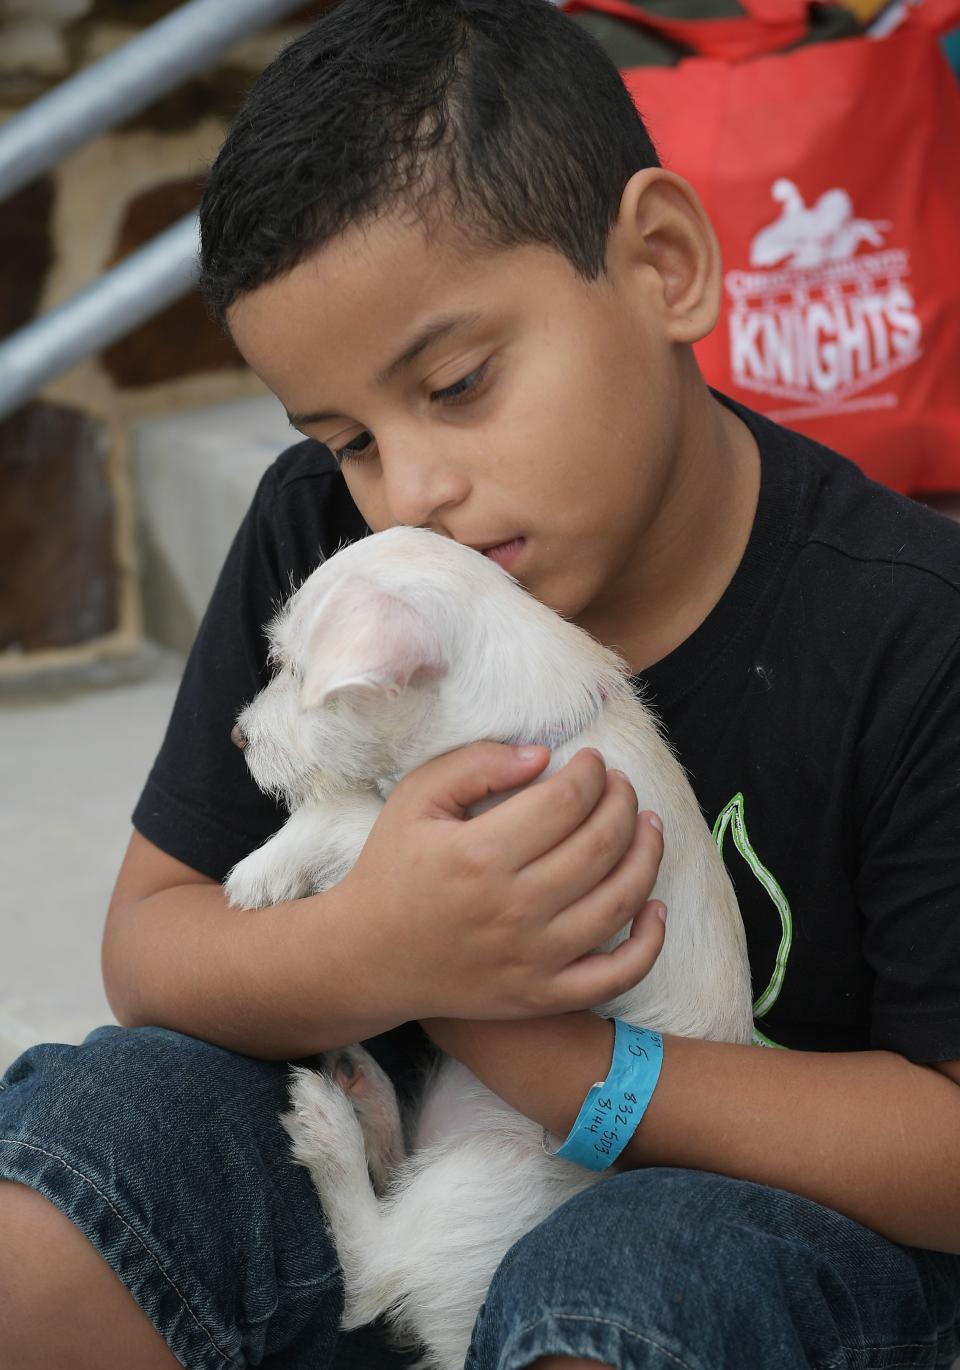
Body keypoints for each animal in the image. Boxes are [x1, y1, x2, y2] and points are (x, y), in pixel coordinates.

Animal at [225, 526, 755, 1370]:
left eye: (302, 673)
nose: (238, 735)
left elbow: (360, 817)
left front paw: (261, 869)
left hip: (486, 1179)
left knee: (374, 1274)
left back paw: (331, 1129)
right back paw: (367, 1099)